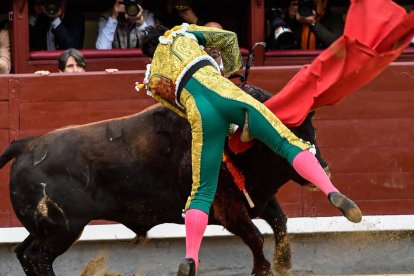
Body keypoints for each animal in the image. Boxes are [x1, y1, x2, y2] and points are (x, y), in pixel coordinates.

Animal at [0, 85, 326, 274]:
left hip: (47, 229)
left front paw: (283, 266)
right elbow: (257, 237)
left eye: (312, 131)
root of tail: (25, 145)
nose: (322, 167)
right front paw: (264, 269)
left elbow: (280, 222)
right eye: (286, 137)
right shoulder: (229, 210)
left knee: (23, 253)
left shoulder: (257, 198)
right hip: (63, 229)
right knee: (37, 258)